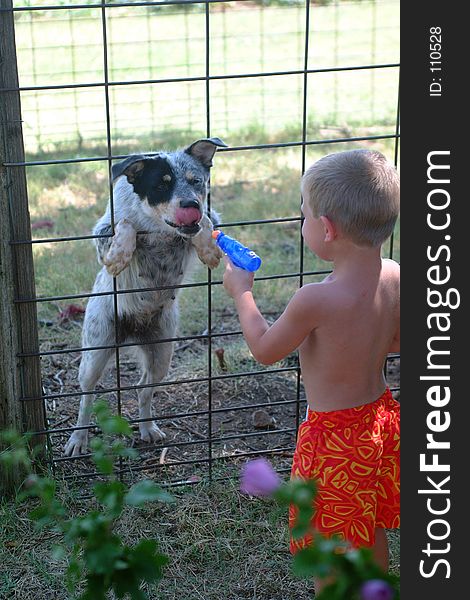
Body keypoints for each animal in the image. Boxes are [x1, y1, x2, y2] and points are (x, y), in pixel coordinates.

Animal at [64, 137, 228, 454]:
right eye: (161, 185)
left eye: (197, 181)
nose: (190, 204)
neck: (157, 226)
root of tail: (132, 332)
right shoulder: (104, 229)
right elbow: (124, 225)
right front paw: (119, 254)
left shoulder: (207, 217)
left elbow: (206, 222)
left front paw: (208, 249)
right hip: (96, 349)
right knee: (86, 396)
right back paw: (78, 439)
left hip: (162, 352)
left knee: (143, 388)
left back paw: (147, 428)